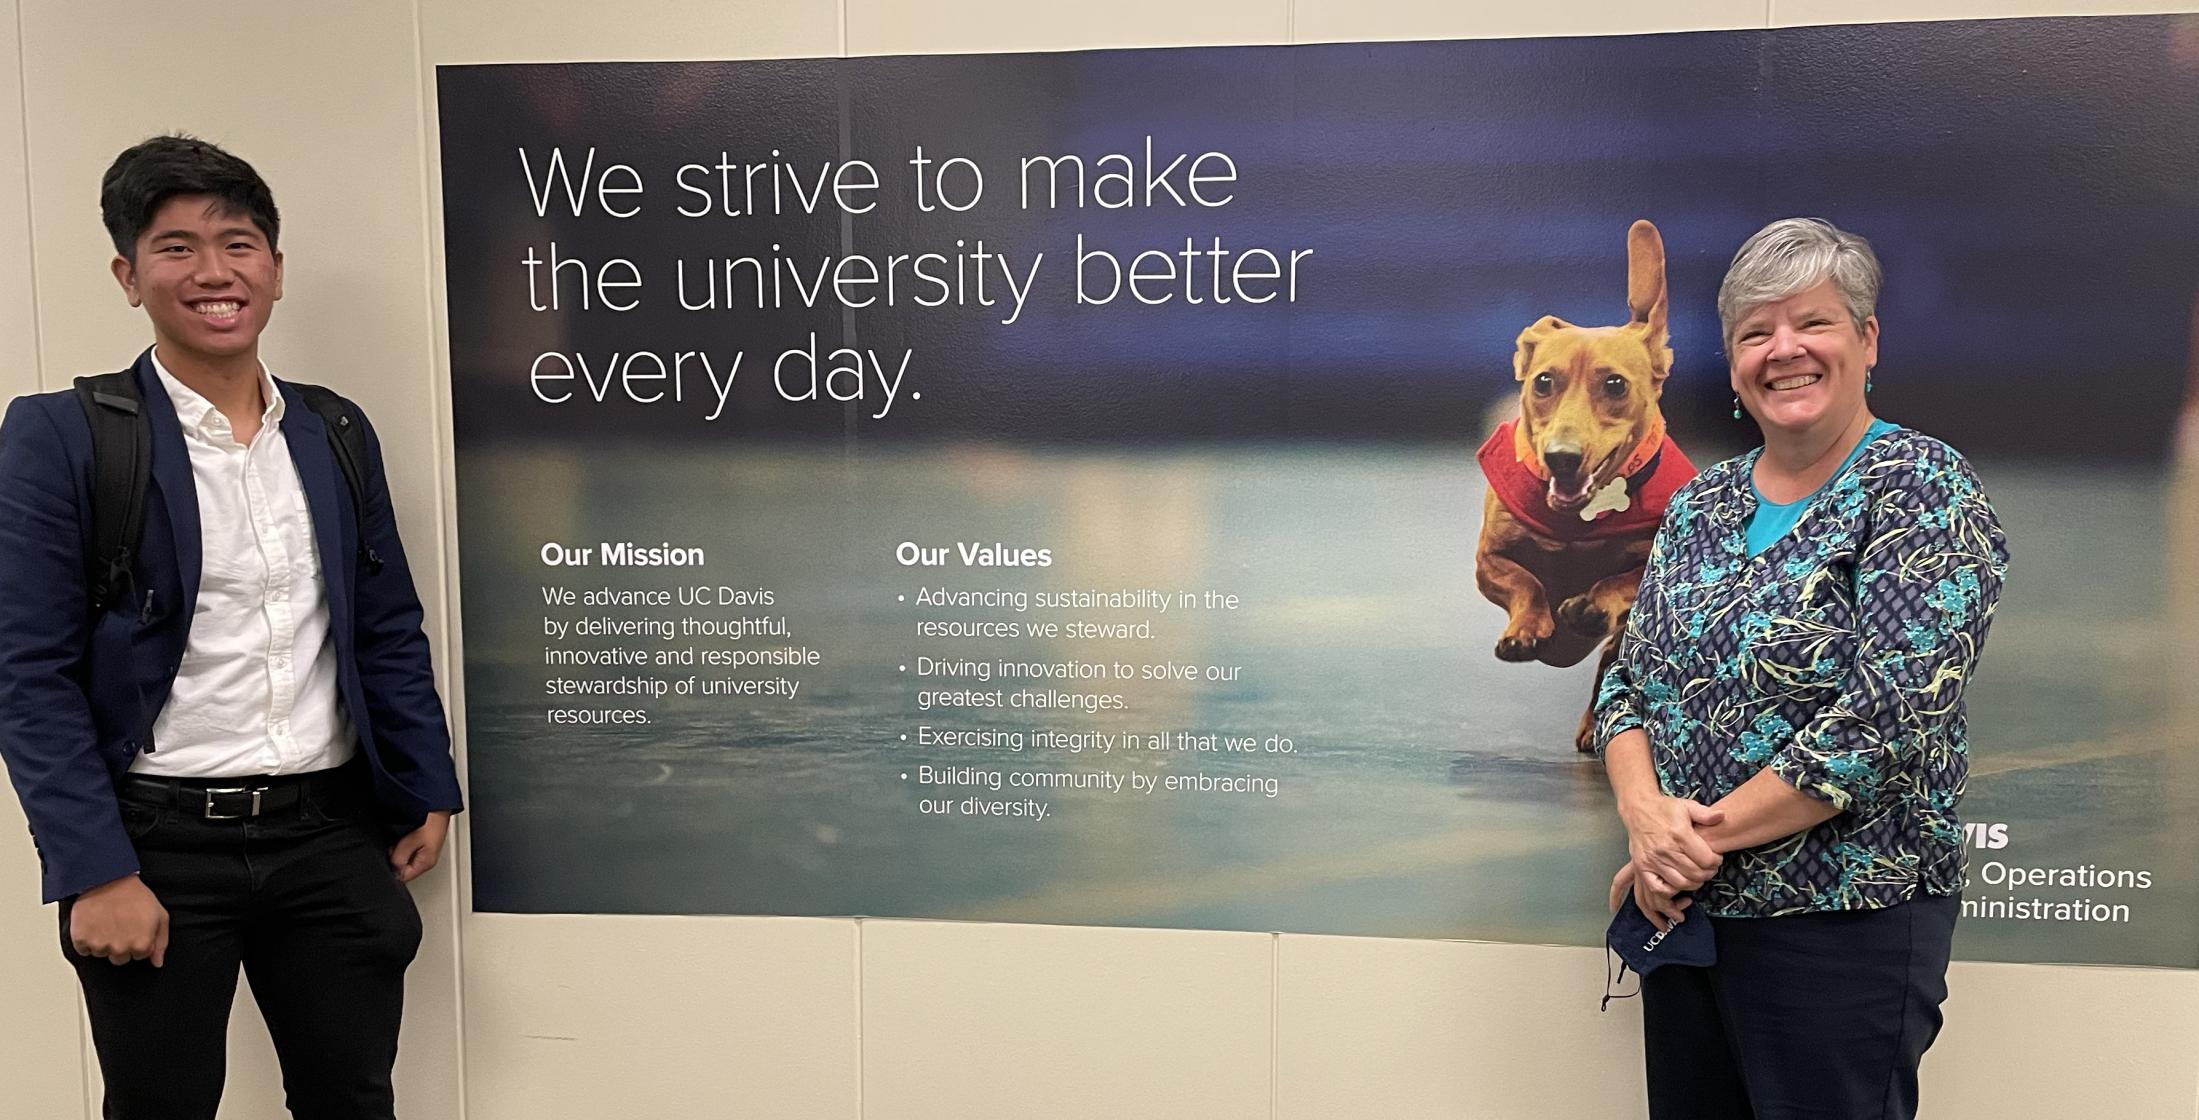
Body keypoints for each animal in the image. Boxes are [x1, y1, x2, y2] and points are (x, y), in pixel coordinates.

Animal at [1477, 215, 1697, 752]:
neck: (1576, 520)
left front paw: (1592, 605)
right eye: (1543, 381)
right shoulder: (1487, 560)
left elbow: (1621, 582)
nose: (1561, 458)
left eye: (1614, 385)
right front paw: (1526, 627)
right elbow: (1525, 580)